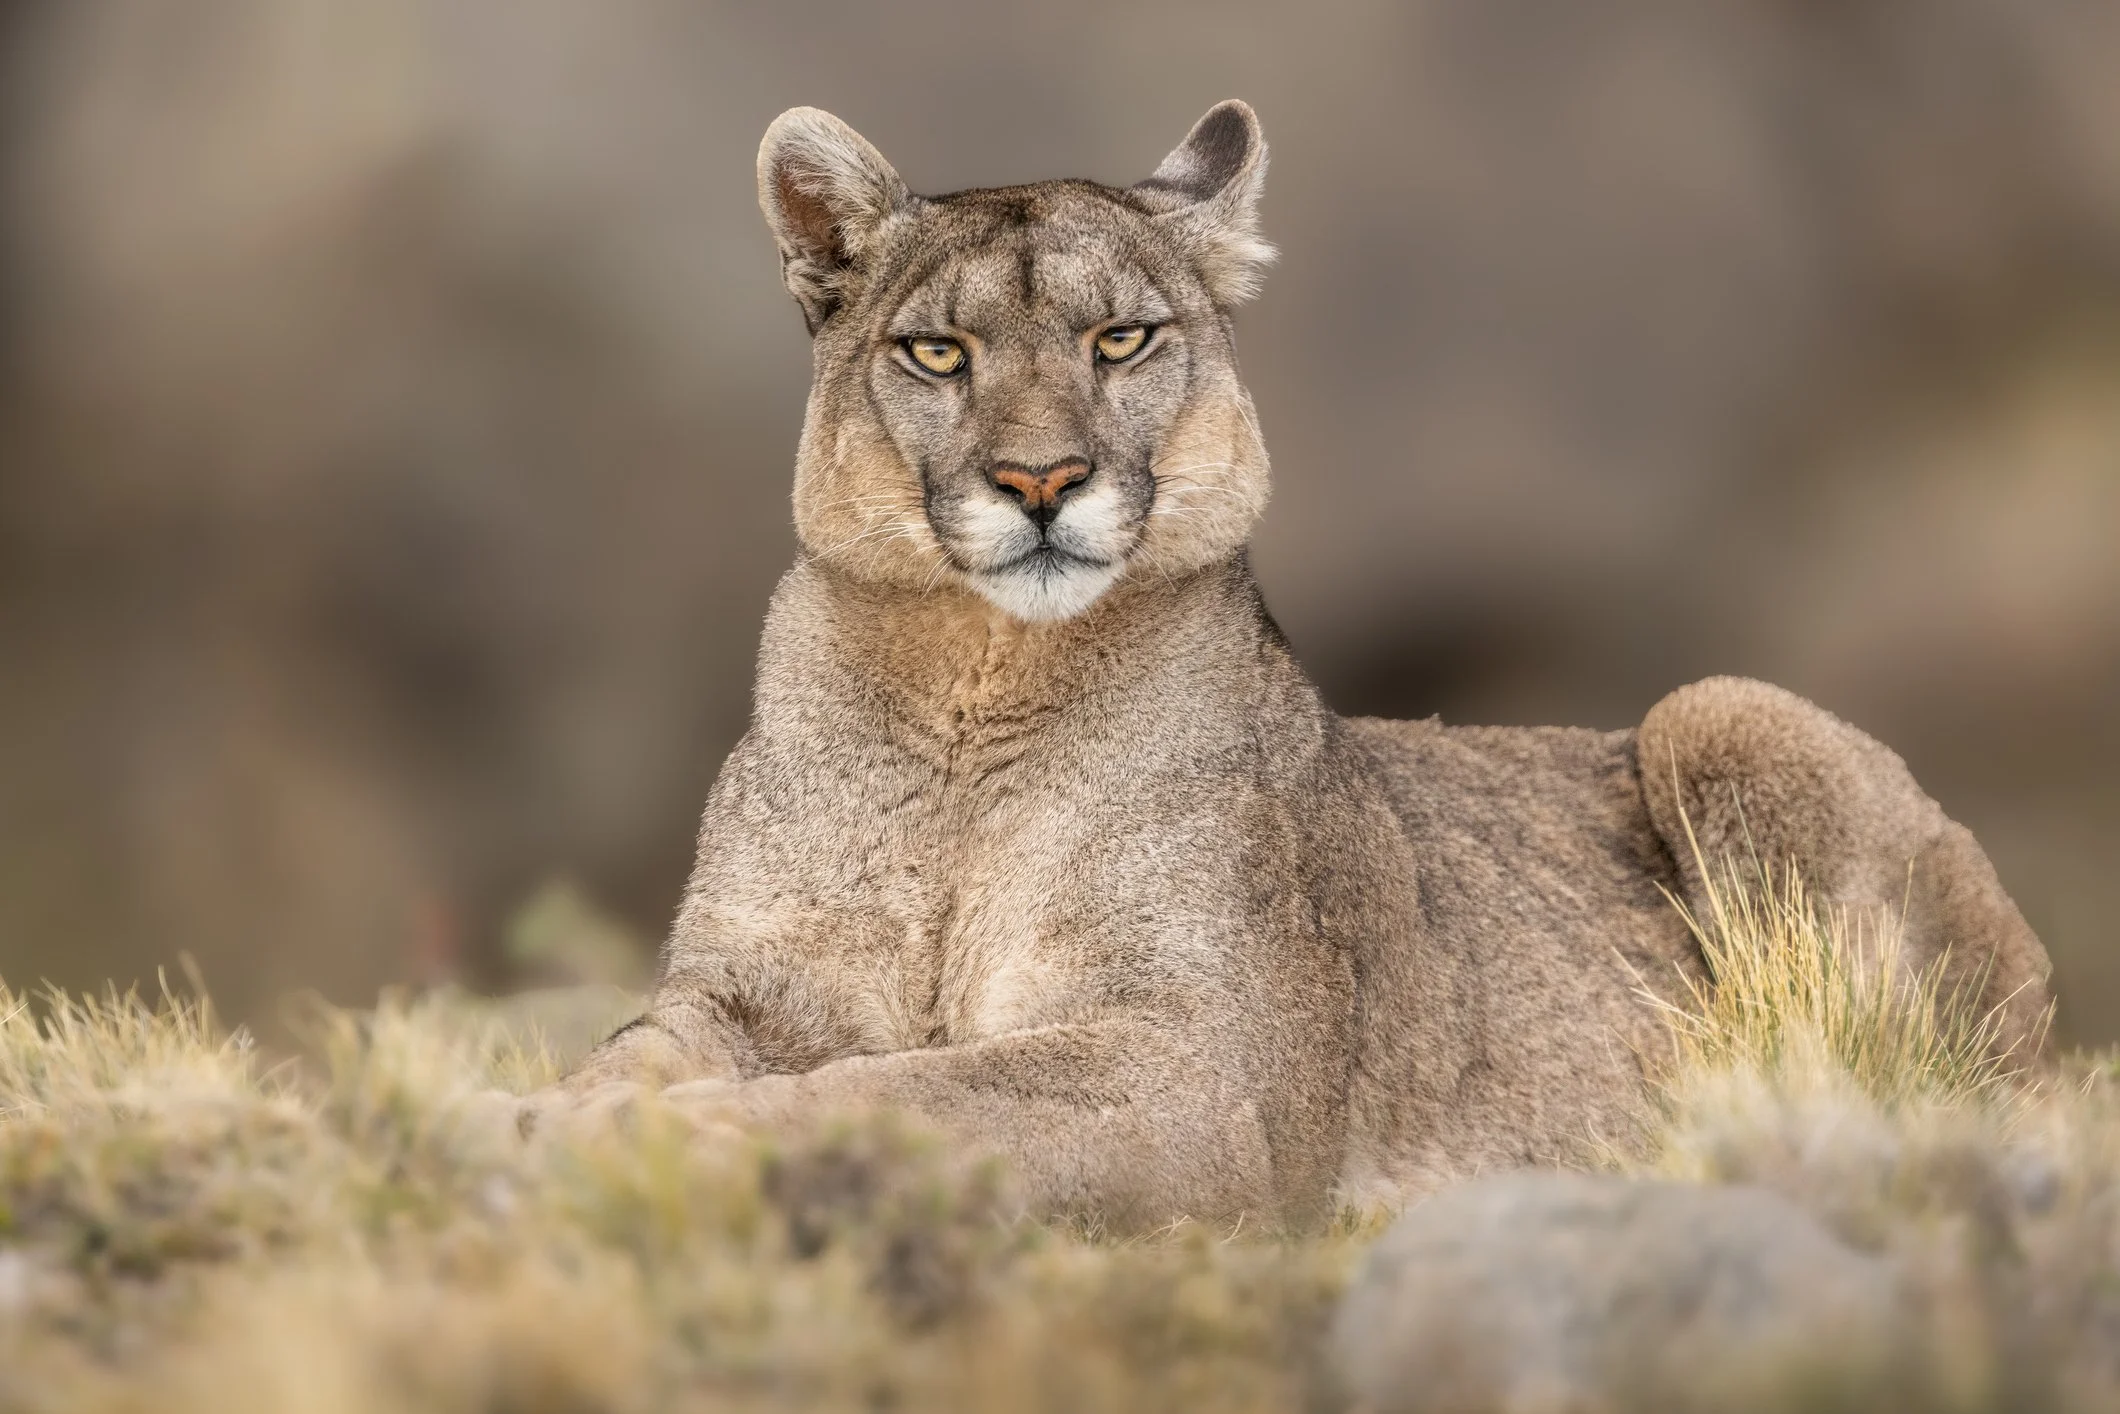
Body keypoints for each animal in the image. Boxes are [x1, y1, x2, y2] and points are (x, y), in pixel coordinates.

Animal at [524, 101, 2052, 1229]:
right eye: (938, 351)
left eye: (1121, 337)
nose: (1040, 481)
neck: (972, 686)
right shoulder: (745, 987)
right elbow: (635, 1047)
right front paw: (541, 1119)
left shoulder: (1191, 1065)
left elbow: (906, 1089)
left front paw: (690, 1140)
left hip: (1722, 711)